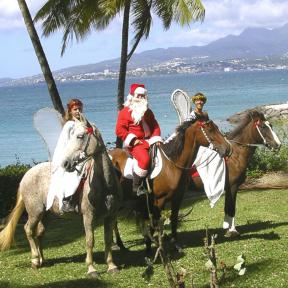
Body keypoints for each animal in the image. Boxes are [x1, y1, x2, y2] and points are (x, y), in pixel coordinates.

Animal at [0, 118, 122, 278]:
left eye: (80, 136)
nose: (65, 163)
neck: (104, 184)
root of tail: (27, 174)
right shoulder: (88, 216)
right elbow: (90, 241)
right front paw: (91, 269)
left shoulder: (110, 216)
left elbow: (108, 240)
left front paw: (112, 266)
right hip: (35, 212)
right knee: (29, 230)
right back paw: (35, 260)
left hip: (45, 214)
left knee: (39, 232)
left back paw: (42, 259)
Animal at [109, 118, 231, 251]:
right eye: (210, 129)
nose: (227, 149)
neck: (172, 164)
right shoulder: (159, 201)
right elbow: (155, 223)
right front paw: (152, 245)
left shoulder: (177, 198)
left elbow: (173, 219)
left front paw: (175, 243)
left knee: (113, 221)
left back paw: (119, 244)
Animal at [187, 109, 282, 237]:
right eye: (263, 127)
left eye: (271, 125)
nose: (278, 145)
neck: (234, 156)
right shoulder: (233, 186)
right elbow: (231, 208)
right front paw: (232, 230)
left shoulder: (229, 188)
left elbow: (228, 207)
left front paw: (227, 228)